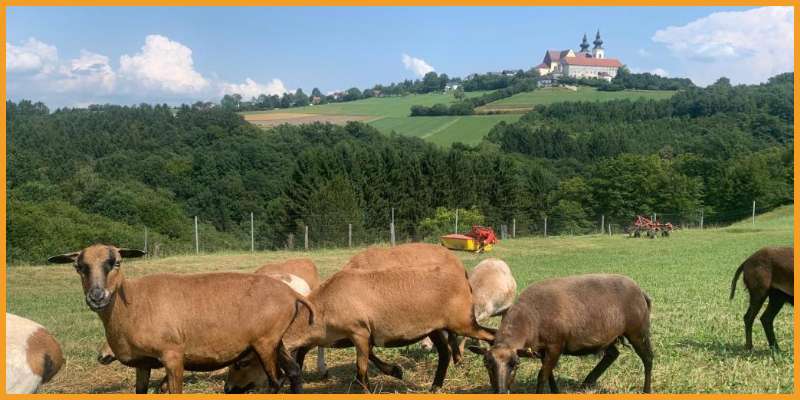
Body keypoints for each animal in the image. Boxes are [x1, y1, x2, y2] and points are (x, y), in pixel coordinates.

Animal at [46, 244, 316, 394]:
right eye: (79, 267)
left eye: (117, 263)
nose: (97, 297)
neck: (132, 304)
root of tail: (291, 294)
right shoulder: (143, 363)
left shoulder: (173, 356)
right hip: (275, 340)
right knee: (294, 372)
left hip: (265, 342)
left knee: (276, 380)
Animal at [468, 274, 648, 392]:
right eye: (486, 364)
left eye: (516, 364)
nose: (501, 392)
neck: (530, 317)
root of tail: (640, 290)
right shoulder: (542, 349)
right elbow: (549, 374)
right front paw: (555, 392)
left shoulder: (555, 345)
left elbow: (542, 375)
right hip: (607, 336)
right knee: (612, 354)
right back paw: (587, 382)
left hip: (638, 331)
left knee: (648, 358)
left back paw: (646, 390)